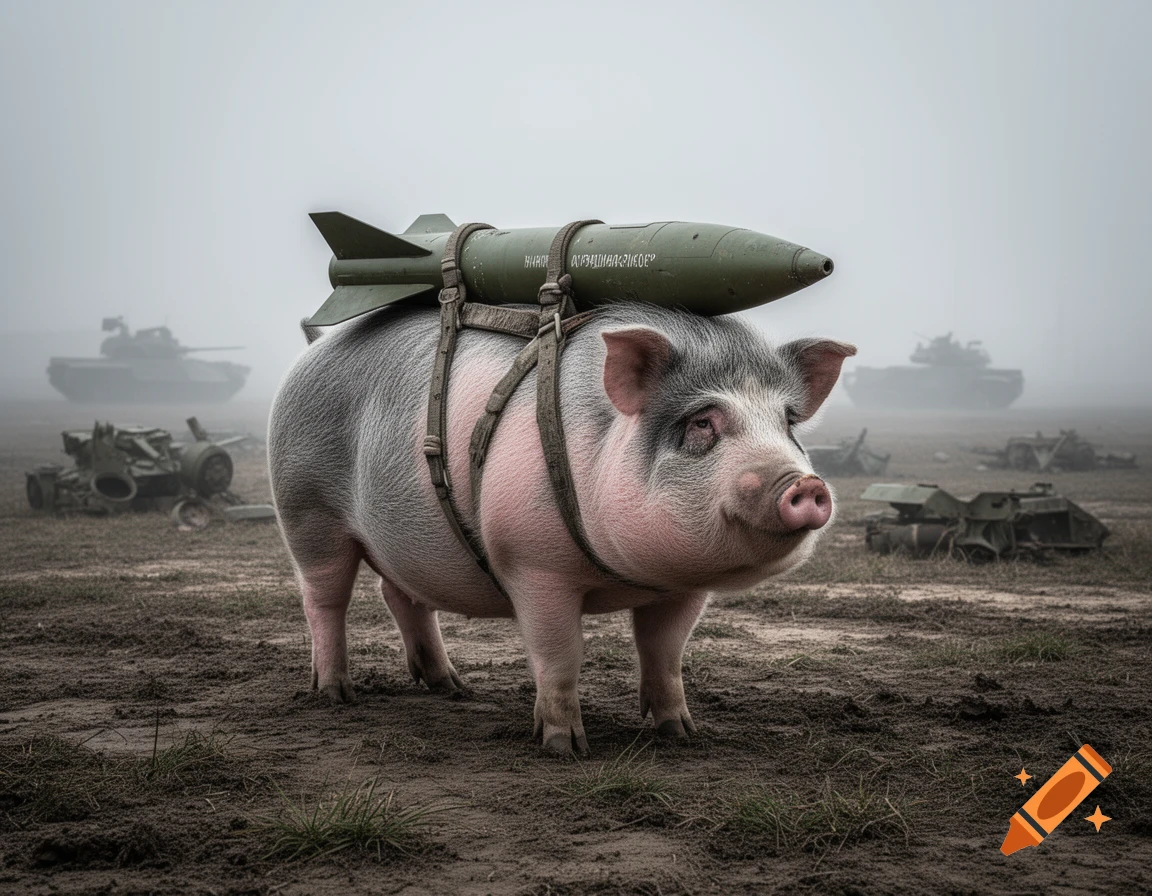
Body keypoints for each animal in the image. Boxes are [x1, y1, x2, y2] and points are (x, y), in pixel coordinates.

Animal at [268, 303, 855, 753]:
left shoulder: (683, 589)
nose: (805, 485)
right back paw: (335, 694)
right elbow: (560, 655)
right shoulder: (532, 565)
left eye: (788, 423)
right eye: (702, 422)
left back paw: (452, 688)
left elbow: (665, 652)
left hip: (399, 543)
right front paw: (565, 748)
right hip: (305, 509)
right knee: (324, 598)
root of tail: (316, 345)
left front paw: (682, 734)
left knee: (401, 595)